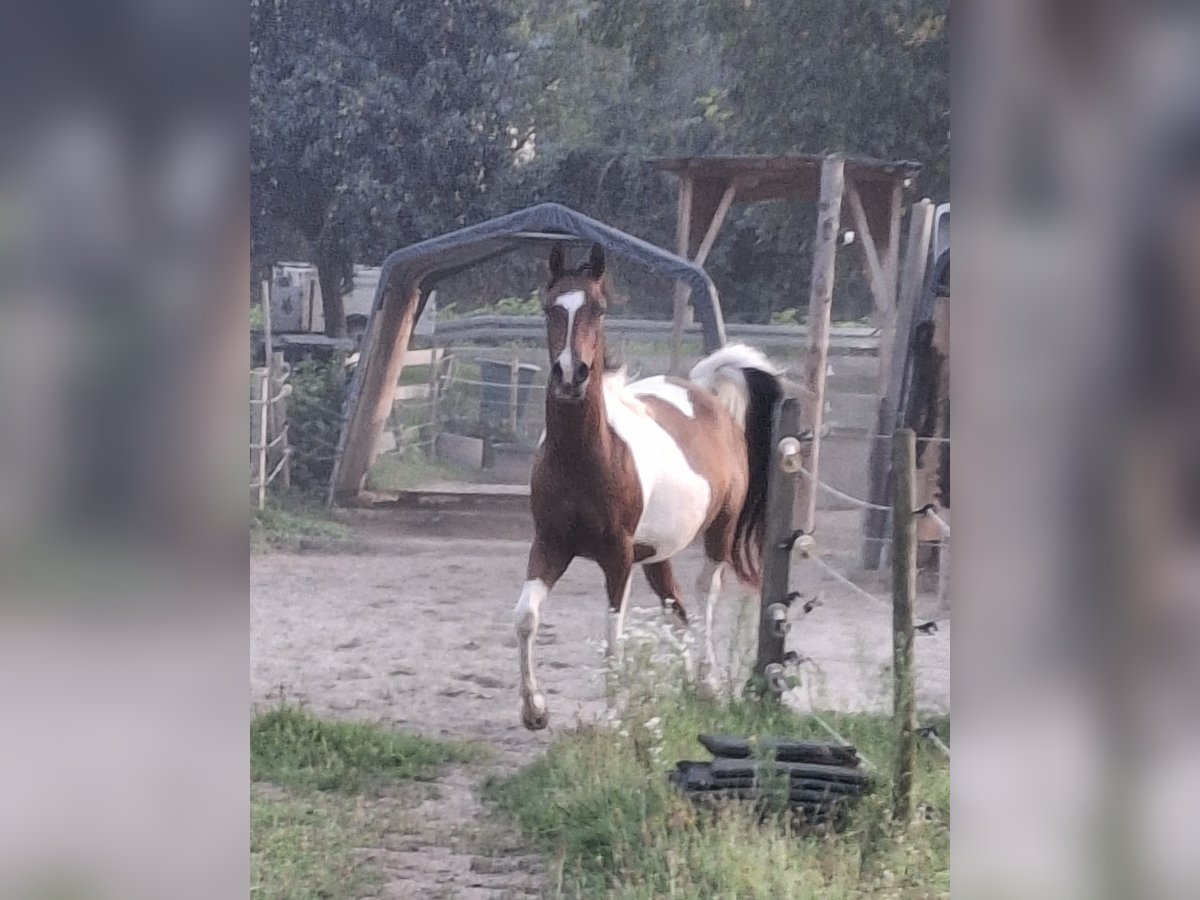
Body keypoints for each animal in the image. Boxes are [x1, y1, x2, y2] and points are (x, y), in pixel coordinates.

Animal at [513, 243, 777, 729]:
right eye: (549, 307)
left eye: (598, 309)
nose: (570, 374)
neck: (586, 458)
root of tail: (705, 393)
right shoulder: (551, 544)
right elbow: (526, 617)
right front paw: (534, 710)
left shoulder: (617, 557)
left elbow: (612, 634)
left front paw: (616, 714)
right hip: (657, 554)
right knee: (677, 608)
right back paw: (688, 685)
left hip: (720, 531)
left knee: (705, 594)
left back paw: (708, 684)